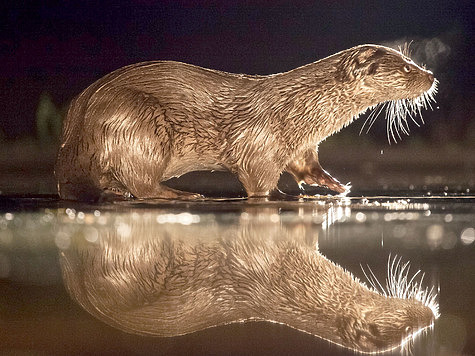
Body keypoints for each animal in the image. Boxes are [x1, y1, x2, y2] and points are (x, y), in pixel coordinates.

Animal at [54, 43, 436, 200]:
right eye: (406, 68)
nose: (430, 75)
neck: (299, 108)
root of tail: (77, 126)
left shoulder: (300, 145)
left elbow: (306, 165)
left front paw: (332, 185)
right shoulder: (258, 143)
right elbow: (258, 181)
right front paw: (284, 196)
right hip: (140, 123)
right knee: (142, 183)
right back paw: (184, 195)